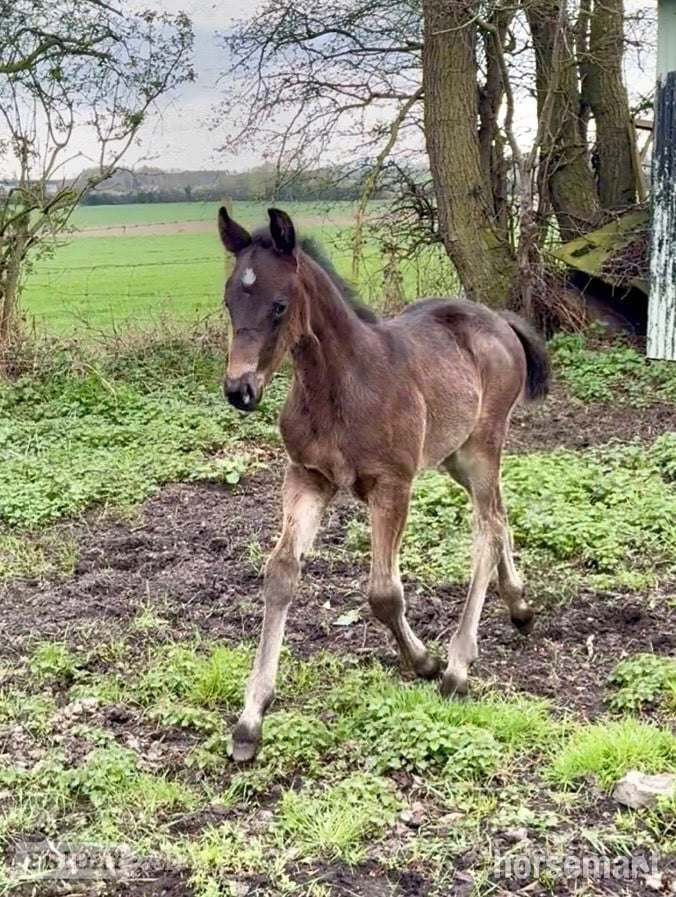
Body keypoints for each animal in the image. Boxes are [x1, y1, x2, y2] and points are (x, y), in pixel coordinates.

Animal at [218, 206, 549, 761]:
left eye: (280, 305)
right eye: (228, 301)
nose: (239, 390)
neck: (339, 385)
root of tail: (497, 318)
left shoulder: (392, 484)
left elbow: (383, 594)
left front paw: (426, 662)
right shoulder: (307, 477)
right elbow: (281, 574)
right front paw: (250, 719)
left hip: (484, 444)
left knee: (486, 530)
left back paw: (458, 667)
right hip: (454, 455)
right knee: (500, 516)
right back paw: (520, 607)